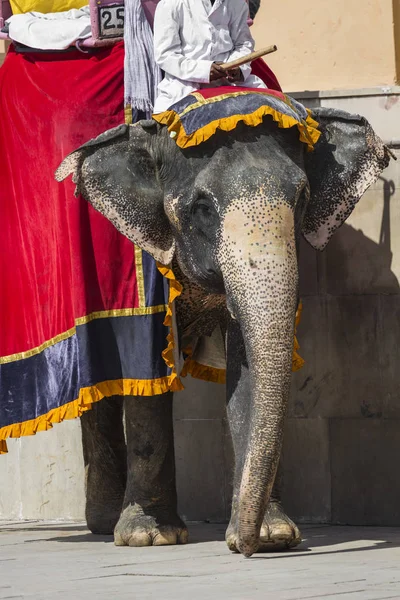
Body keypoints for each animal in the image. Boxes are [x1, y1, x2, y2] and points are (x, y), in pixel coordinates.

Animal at [56, 104, 390, 556]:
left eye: (302, 198)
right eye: (202, 206)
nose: (242, 549)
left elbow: (244, 365)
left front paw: (272, 536)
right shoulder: (139, 259)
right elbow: (147, 373)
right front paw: (150, 536)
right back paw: (108, 523)